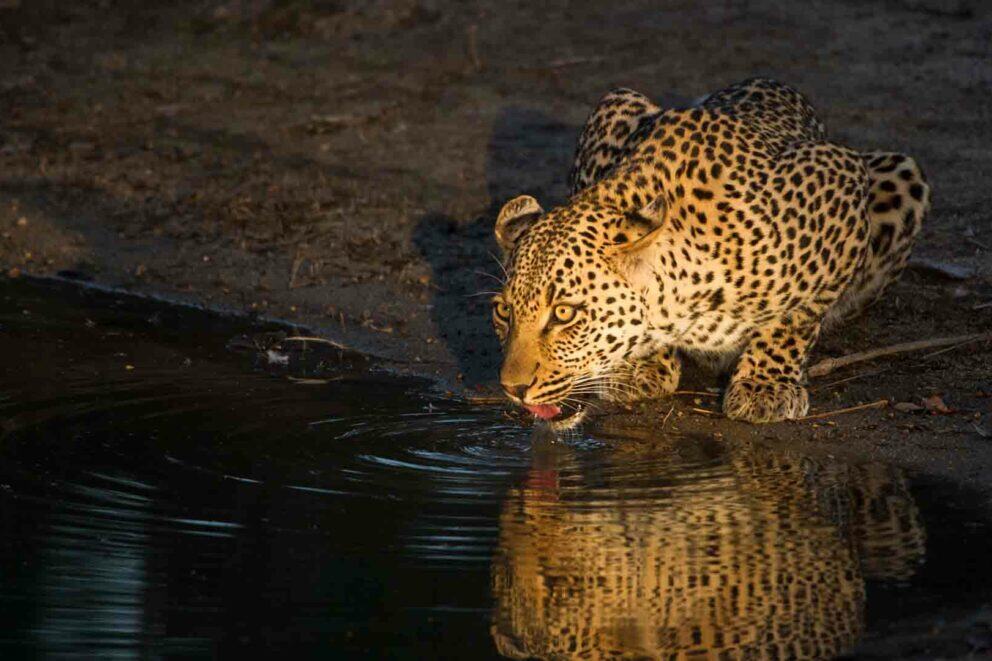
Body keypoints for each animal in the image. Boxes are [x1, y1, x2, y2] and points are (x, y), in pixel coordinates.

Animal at [490, 78, 930, 426]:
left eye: (564, 314)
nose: (512, 388)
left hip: (898, 172)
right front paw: (644, 365)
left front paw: (765, 386)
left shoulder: (838, 177)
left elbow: (797, 316)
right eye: (504, 311)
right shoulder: (609, 112)